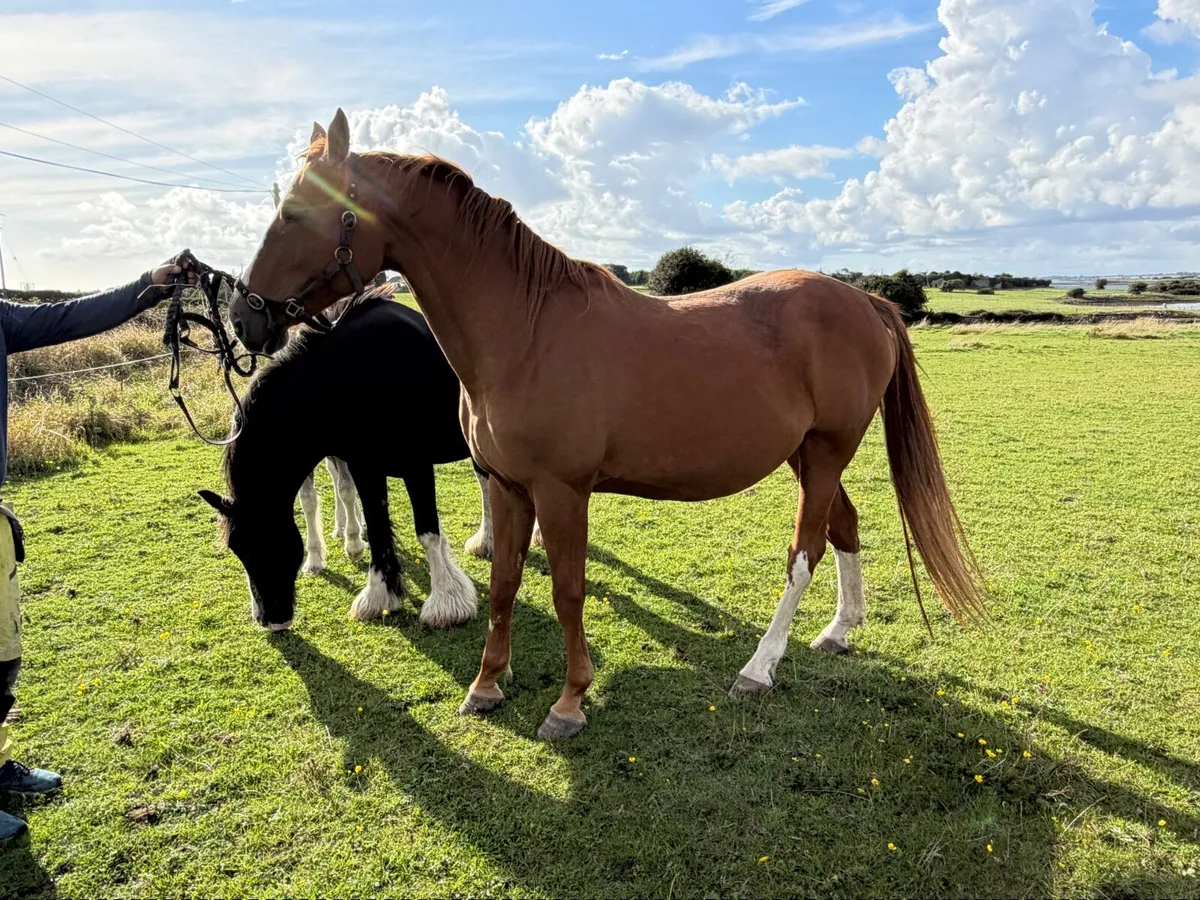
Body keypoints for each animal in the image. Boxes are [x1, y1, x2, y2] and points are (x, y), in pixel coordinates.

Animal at [200, 285, 493, 631]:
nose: (269, 619)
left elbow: (427, 530)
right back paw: (488, 541)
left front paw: (447, 603)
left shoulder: (416, 465)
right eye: (237, 547)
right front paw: (379, 594)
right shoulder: (364, 466)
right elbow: (377, 526)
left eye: (266, 539)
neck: (351, 377)